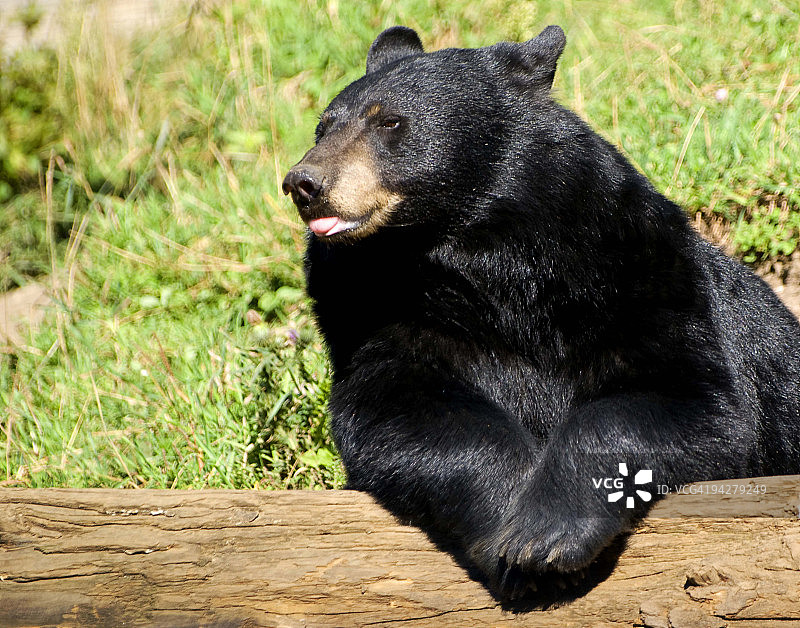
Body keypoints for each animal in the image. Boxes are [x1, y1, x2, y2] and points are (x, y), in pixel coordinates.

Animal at [282, 25, 800, 600]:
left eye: (389, 121)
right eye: (323, 126)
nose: (304, 182)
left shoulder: (636, 277)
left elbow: (687, 398)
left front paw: (546, 535)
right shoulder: (379, 315)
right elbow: (403, 409)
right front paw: (514, 530)